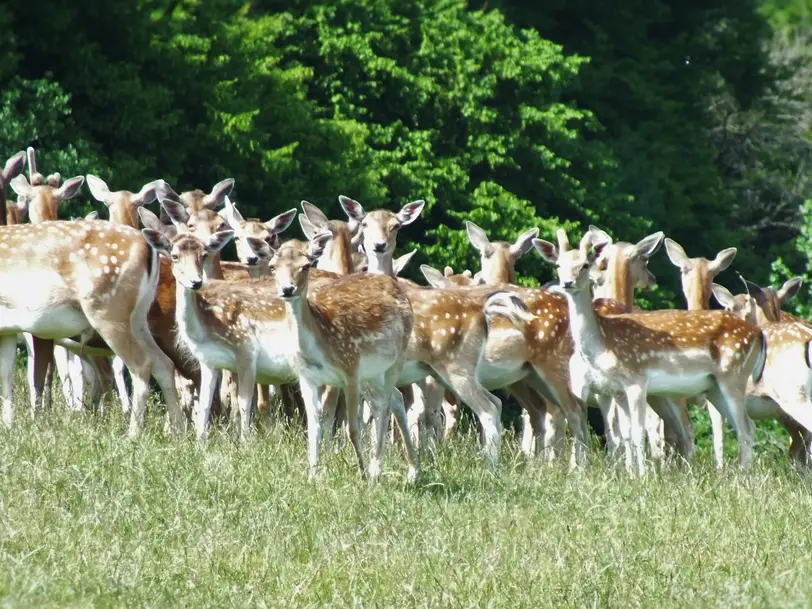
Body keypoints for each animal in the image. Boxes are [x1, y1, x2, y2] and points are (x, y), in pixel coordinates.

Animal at [0, 218, 182, 432]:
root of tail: (147, 248)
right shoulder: (8, 330)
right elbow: (6, 375)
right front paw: (9, 426)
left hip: (107, 311)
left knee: (142, 365)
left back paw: (133, 433)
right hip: (137, 318)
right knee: (164, 364)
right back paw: (179, 431)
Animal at [536, 230, 764, 472]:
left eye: (585, 264)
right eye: (558, 264)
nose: (567, 283)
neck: (605, 342)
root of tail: (758, 333)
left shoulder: (637, 380)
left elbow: (637, 433)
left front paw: (642, 475)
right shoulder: (616, 389)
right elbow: (625, 433)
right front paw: (629, 473)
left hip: (733, 376)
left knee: (743, 428)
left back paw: (741, 475)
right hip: (713, 388)